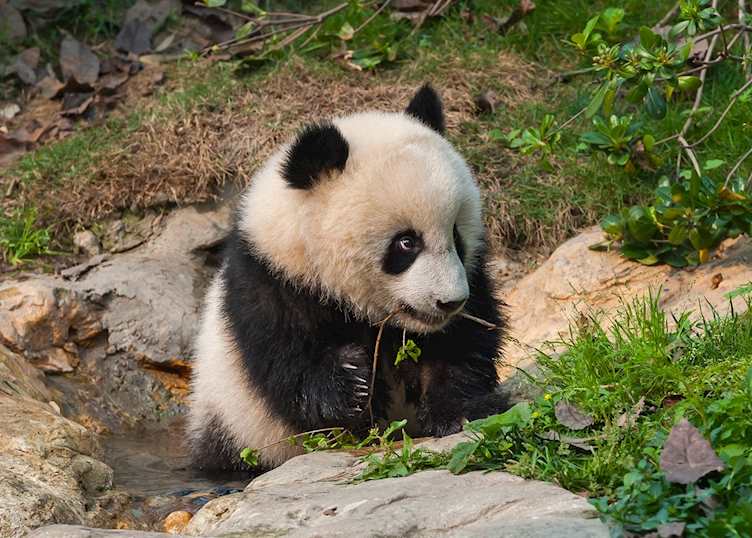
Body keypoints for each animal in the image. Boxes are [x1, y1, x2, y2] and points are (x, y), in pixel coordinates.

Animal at [187, 85, 509, 471]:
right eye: (406, 242)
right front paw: (354, 381)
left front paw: (460, 412)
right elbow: (288, 364)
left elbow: (463, 342)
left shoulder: (472, 280)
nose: (449, 302)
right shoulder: (271, 281)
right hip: (236, 422)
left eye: (457, 237)